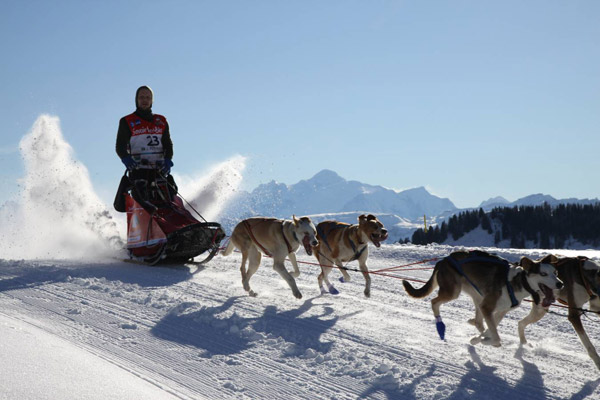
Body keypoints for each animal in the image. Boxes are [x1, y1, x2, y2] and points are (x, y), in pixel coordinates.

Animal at [404, 250, 564, 346]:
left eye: (555, 273)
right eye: (543, 274)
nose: (560, 284)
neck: (516, 282)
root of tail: (444, 260)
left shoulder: (500, 311)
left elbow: (491, 328)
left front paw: (480, 338)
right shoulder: (488, 307)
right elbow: (496, 338)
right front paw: (485, 341)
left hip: (477, 296)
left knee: (478, 321)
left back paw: (475, 325)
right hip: (453, 292)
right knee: (434, 302)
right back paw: (440, 326)